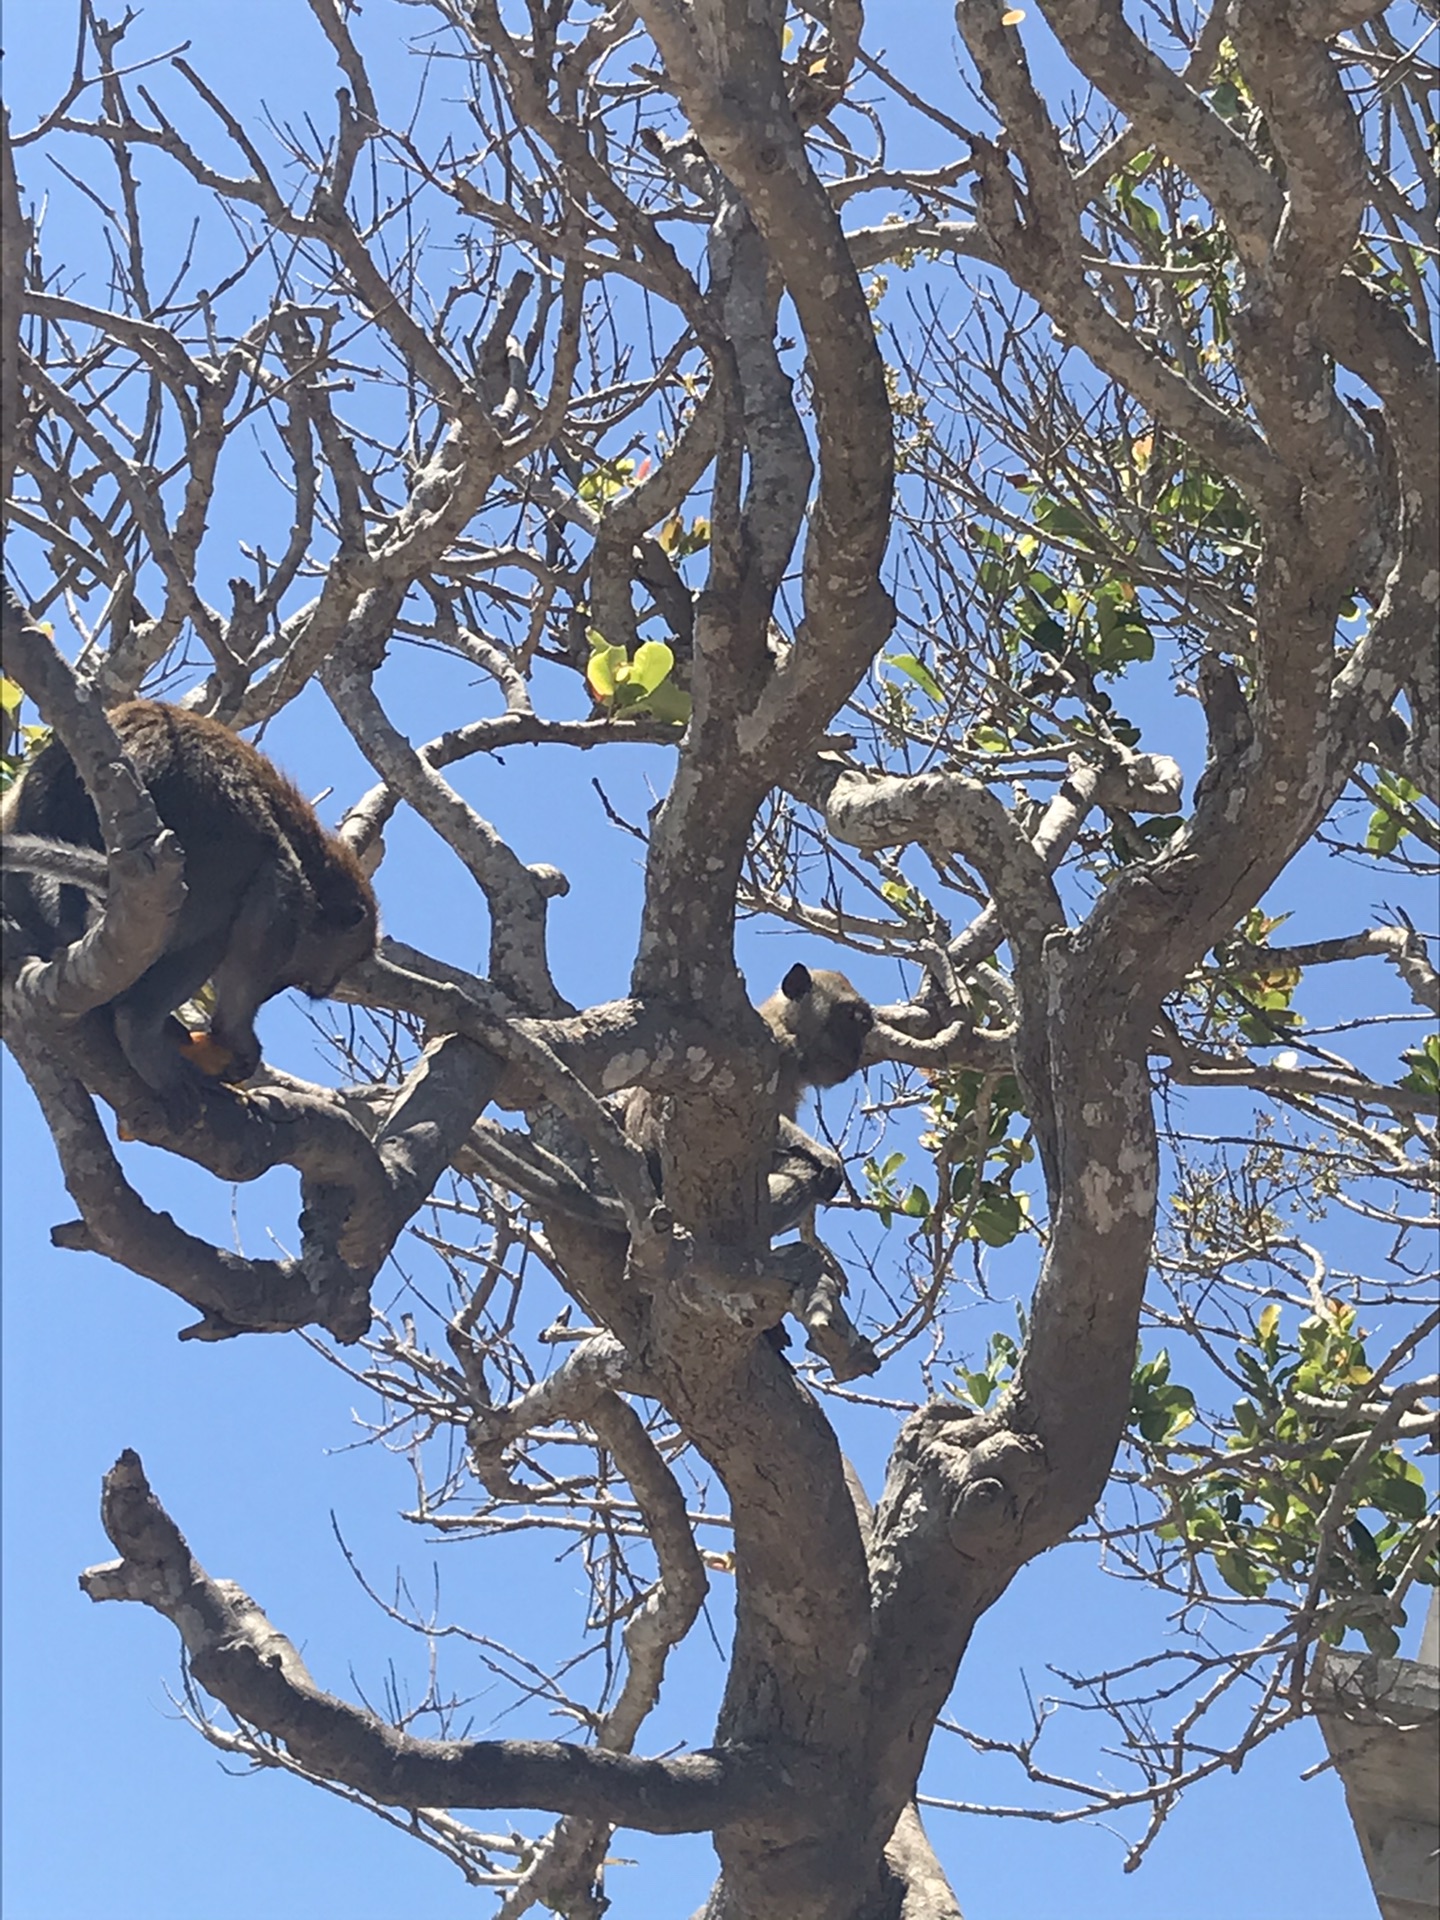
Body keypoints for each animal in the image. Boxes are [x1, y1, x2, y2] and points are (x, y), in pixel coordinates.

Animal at [0, 702, 380, 1121]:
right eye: (299, 978)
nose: (273, 991)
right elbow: (278, 891)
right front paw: (235, 1038)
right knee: (260, 886)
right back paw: (138, 1024)